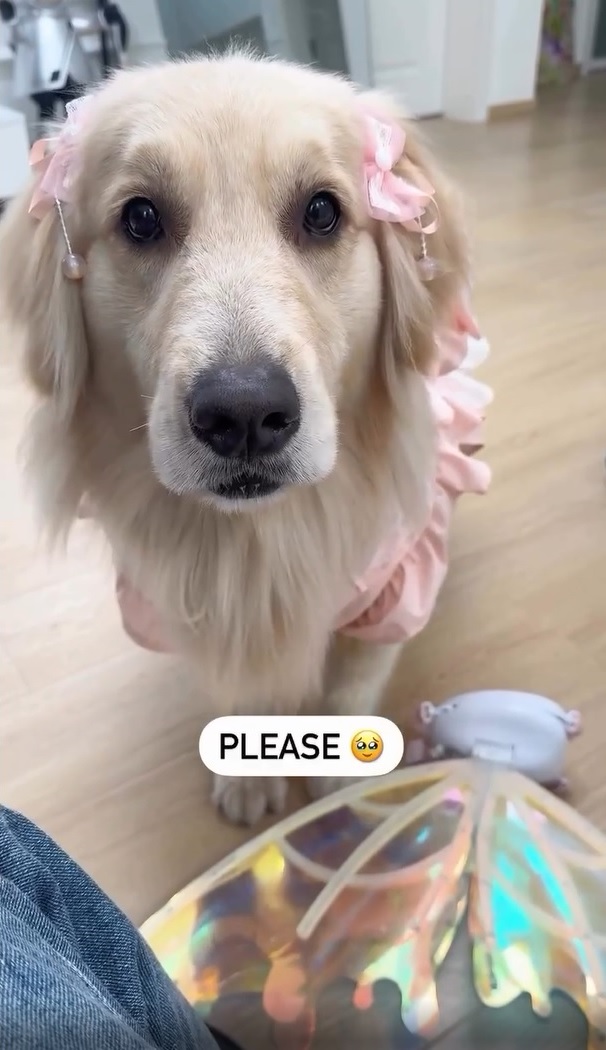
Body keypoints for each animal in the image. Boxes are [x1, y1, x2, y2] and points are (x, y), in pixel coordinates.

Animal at [0, 53, 490, 825]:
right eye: (141, 218)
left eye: (321, 212)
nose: (244, 414)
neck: (258, 541)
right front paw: (249, 776)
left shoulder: (394, 585)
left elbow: (352, 685)